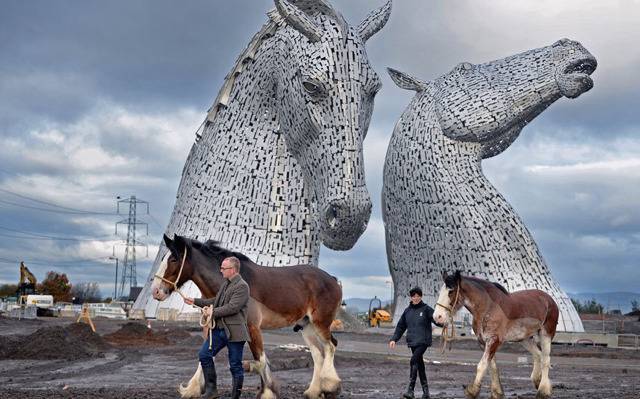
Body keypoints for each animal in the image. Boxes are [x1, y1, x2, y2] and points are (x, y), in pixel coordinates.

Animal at [151, 234, 344, 399]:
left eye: (173, 259)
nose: (156, 292)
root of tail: (332, 279)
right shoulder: (213, 326)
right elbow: (205, 356)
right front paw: (193, 389)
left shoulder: (252, 328)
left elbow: (260, 359)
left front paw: (267, 392)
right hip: (306, 326)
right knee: (318, 354)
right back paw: (313, 391)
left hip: (320, 323)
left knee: (330, 347)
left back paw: (330, 386)